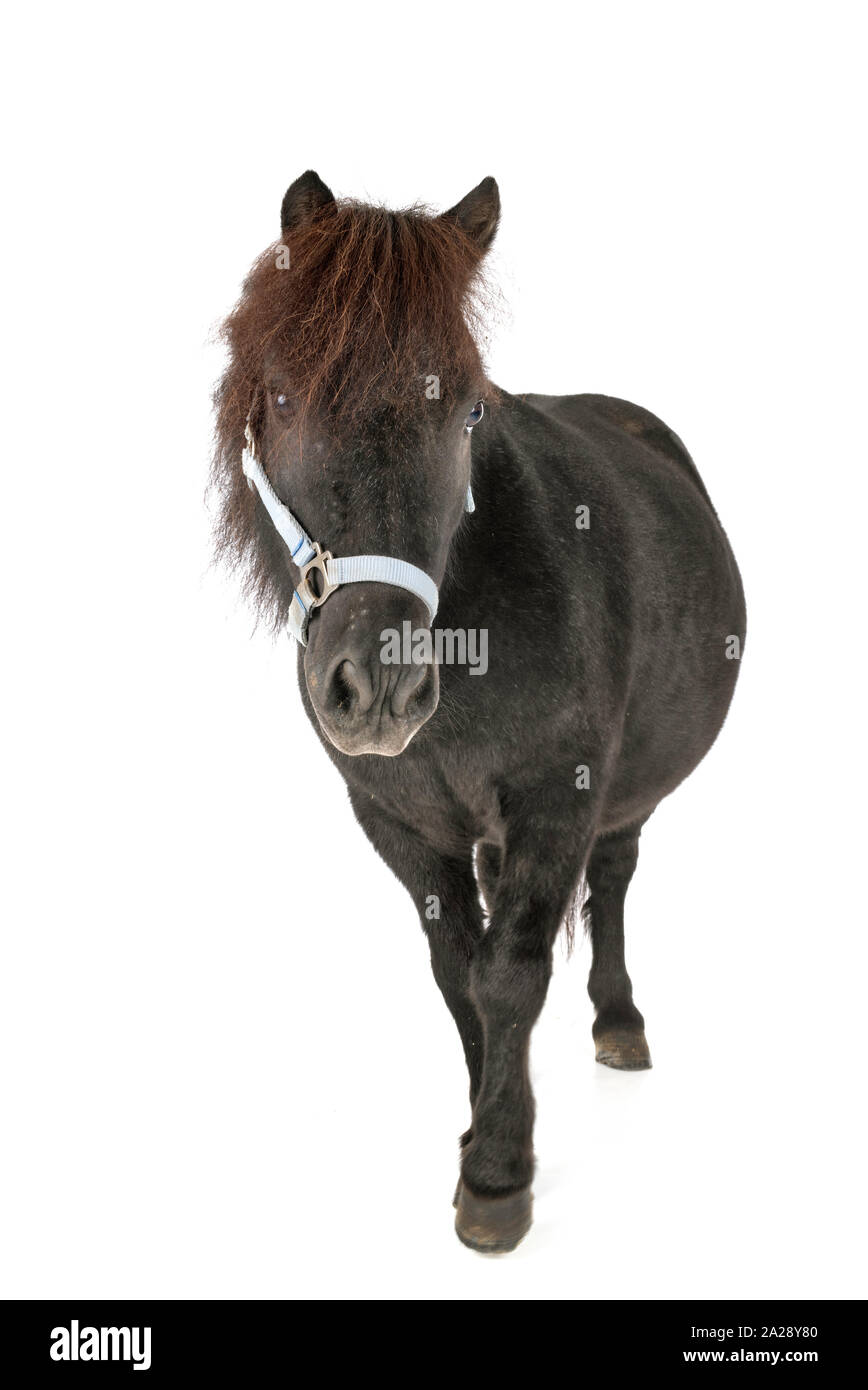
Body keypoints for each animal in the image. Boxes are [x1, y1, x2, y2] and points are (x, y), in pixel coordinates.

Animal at [211, 170, 745, 1251]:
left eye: (465, 413)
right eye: (282, 396)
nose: (379, 684)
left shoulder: (555, 800)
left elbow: (512, 972)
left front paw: (498, 1175)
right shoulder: (398, 820)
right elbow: (460, 971)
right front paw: (480, 1127)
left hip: (621, 799)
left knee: (612, 883)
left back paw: (618, 1024)